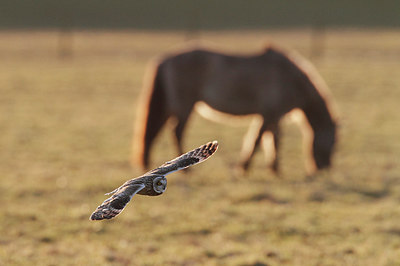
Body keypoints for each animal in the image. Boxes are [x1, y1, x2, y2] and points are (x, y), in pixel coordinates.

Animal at [134, 45, 338, 175]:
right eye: (333, 143)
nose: (324, 169)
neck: (290, 78)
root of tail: (166, 59)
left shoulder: (274, 117)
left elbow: (273, 141)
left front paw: (274, 169)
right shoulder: (269, 115)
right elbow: (257, 141)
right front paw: (244, 168)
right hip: (185, 106)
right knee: (176, 132)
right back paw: (188, 170)